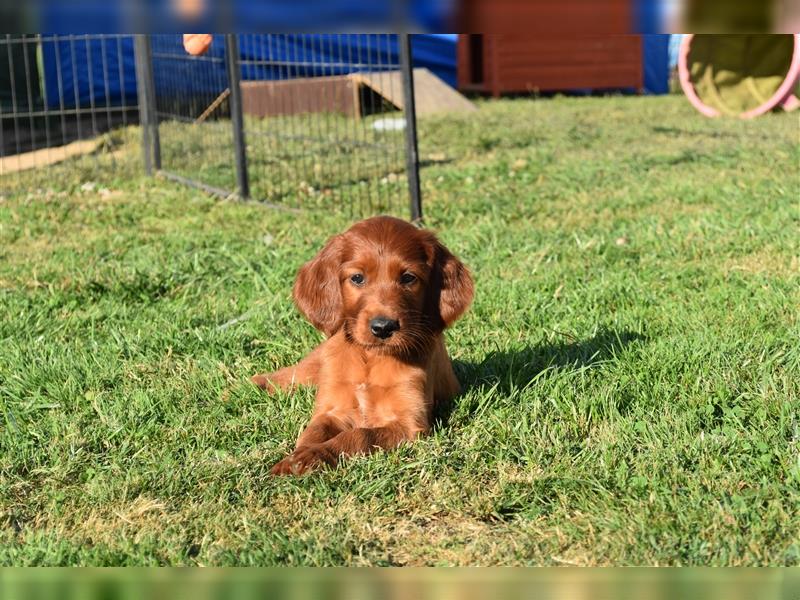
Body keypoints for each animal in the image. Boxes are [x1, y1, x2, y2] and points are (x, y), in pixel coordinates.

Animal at [253, 214, 472, 474]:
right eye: (357, 278)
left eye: (408, 278)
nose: (383, 327)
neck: (370, 357)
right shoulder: (331, 409)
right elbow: (312, 431)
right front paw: (298, 457)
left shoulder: (410, 424)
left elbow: (359, 435)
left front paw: (312, 455)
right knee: (294, 374)